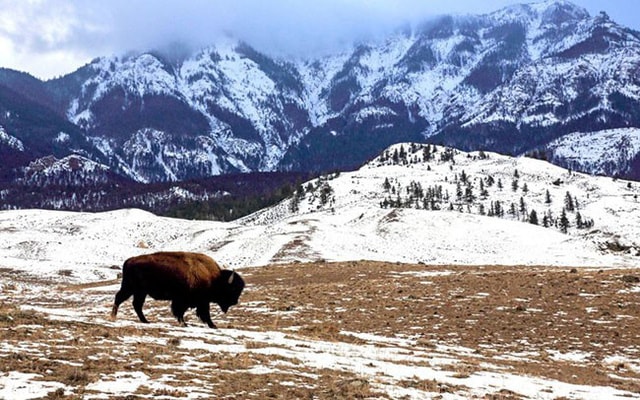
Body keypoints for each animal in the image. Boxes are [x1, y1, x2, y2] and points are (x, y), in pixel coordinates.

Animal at [110, 252, 245, 330]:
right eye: (233, 289)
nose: (235, 302)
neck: (214, 278)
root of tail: (129, 260)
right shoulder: (191, 301)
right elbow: (196, 313)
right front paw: (211, 325)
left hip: (139, 291)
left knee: (135, 304)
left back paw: (145, 321)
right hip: (133, 288)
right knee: (121, 299)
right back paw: (113, 317)